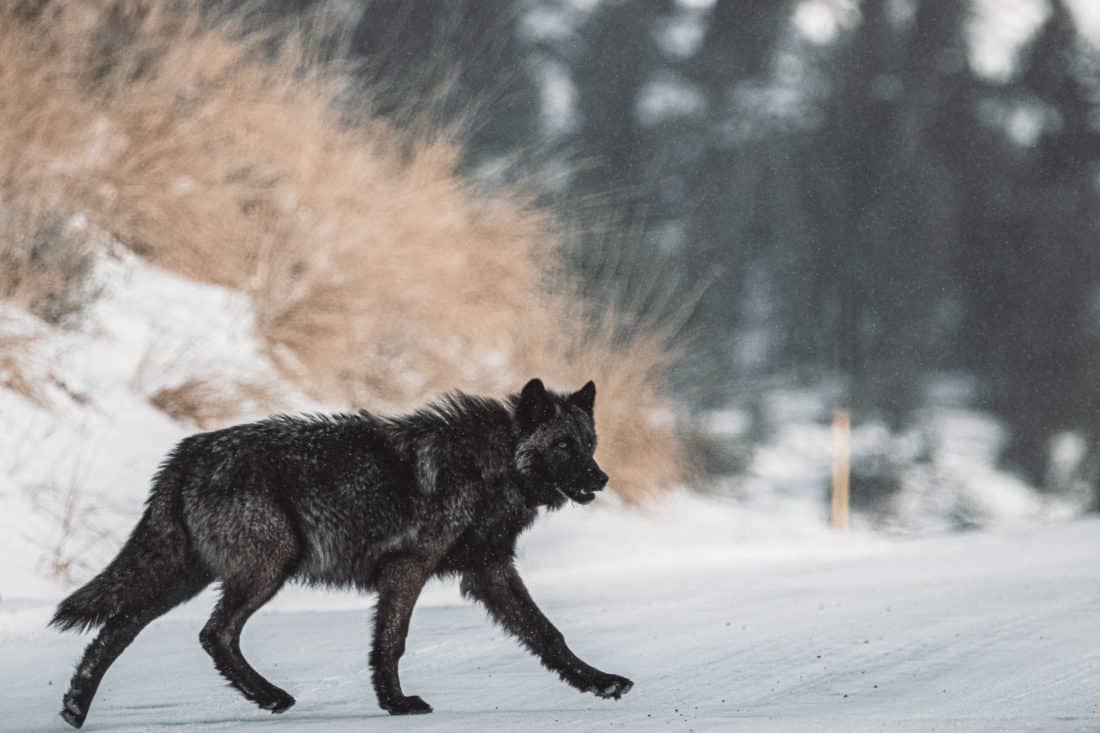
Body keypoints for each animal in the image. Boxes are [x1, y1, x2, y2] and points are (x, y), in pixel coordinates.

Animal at [51, 376, 633, 726]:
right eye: (563, 446)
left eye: (590, 444)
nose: (601, 479)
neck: (490, 465)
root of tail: (188, 452)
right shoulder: (409, 567)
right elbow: (392, 641)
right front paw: (396, 703)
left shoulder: (489, 571)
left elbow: (548, 634)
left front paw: (599, 682)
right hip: (268, 567)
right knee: (214, 633)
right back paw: (271, 696)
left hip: (185, 577)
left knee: (119, 630)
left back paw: (76, 707)